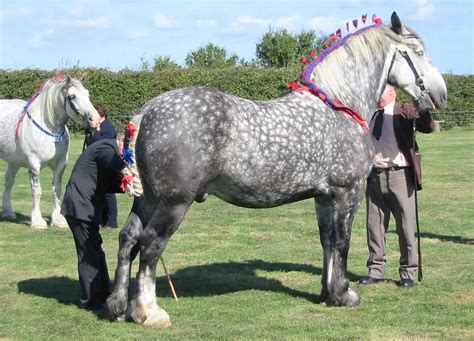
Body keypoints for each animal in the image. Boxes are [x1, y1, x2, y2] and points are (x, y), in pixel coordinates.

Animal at [0, 75, 100, 227]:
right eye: (72, 96)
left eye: (87, 94)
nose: (95, 120)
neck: (49, 131)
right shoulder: (34, 164)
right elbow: (37, 191)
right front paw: (37, 221)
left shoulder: (61, 164)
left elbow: (57, 190)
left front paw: (58, 219)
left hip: (14, 162)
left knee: (9, 182)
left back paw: (8, 212)